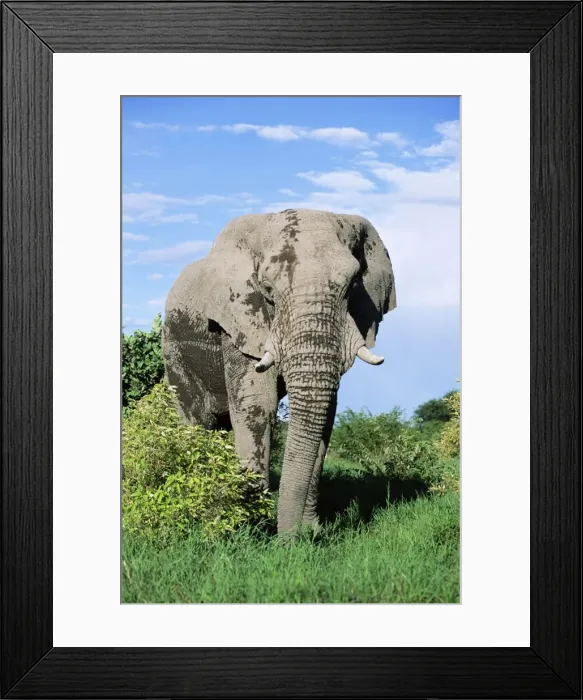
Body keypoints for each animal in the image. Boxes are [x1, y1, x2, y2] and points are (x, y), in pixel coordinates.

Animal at [162, 209, 396, 534]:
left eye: (352, 285)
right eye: (268, 290)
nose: (291, 540)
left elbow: (324, 416)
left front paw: (310, 531)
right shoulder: (238, 320)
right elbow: (258, 406)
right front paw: (249, 528)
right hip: (174, 351)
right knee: (198, 423)